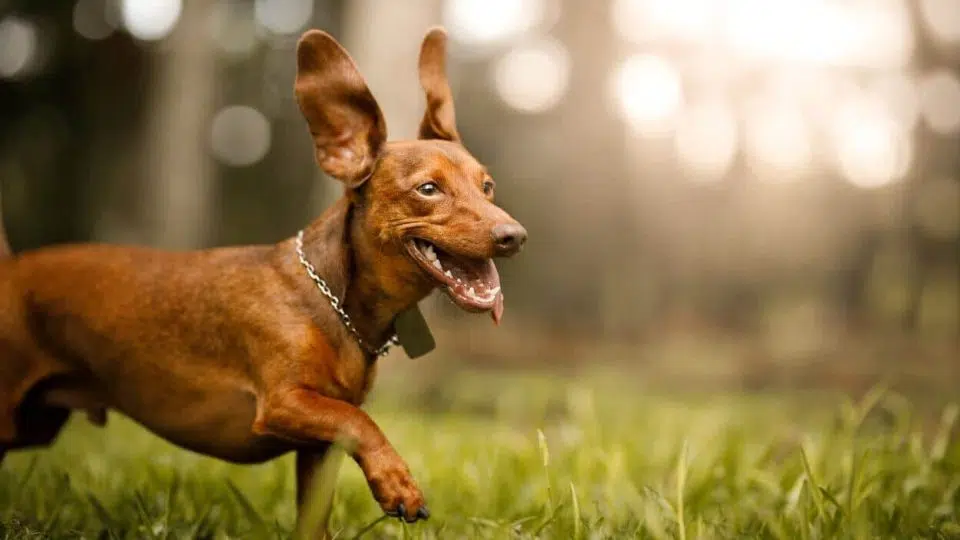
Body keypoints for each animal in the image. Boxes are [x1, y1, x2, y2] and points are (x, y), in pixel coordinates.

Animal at [0, 27, 524, 532]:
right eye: (428, 189)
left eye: (488, 187)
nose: (514, 236)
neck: (332, 303)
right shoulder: (282, 403)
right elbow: (360, 420)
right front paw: (398, 482)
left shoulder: (319, 451)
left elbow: (324, 495)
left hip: (34, 424)